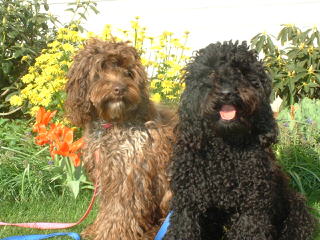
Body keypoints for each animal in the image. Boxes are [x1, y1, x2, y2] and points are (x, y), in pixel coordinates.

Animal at [65, 38, 175, 239]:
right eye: (99, 71)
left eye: (128, 73)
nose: (120, 89)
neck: (111, 124)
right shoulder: (105, 173)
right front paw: (96, 228)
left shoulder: (128, 178)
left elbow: (119, 211)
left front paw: (110, 234)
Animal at [164, 41, 316, 240]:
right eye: (211, 73)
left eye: (243, 72)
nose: (227, 92)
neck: (224, 151)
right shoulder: (187, 205)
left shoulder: (251, 210)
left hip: (296, 207)